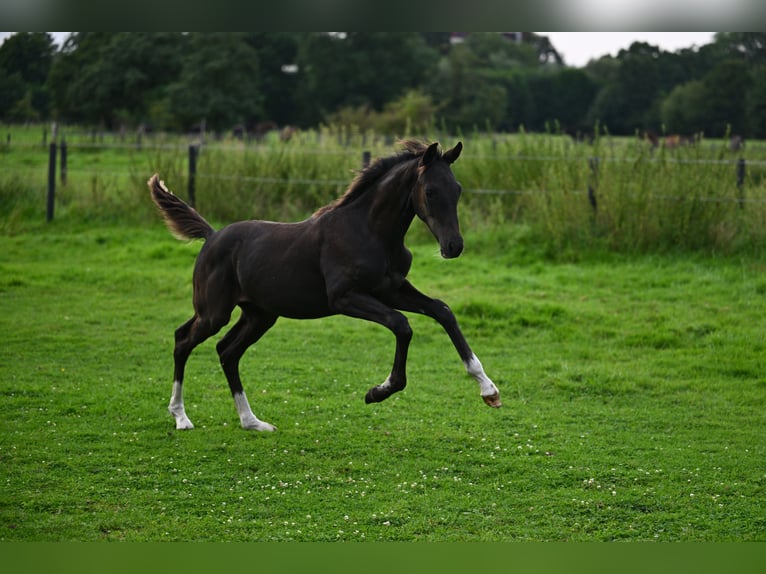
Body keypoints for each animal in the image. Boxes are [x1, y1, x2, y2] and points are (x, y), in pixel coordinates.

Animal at [150, 141, 504, 432]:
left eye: (457, 189)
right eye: (430, 191)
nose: (453, 246)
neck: (370, 231)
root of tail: (211, 236)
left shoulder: (392, 289)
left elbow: (442, 311)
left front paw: (488, 389)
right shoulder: (345, 298)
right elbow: (401, 325)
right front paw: (378, 392)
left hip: (260, 315)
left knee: (227, 351)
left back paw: (252, 422)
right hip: (214, 311)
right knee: (183, 340)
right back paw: (181, 417)